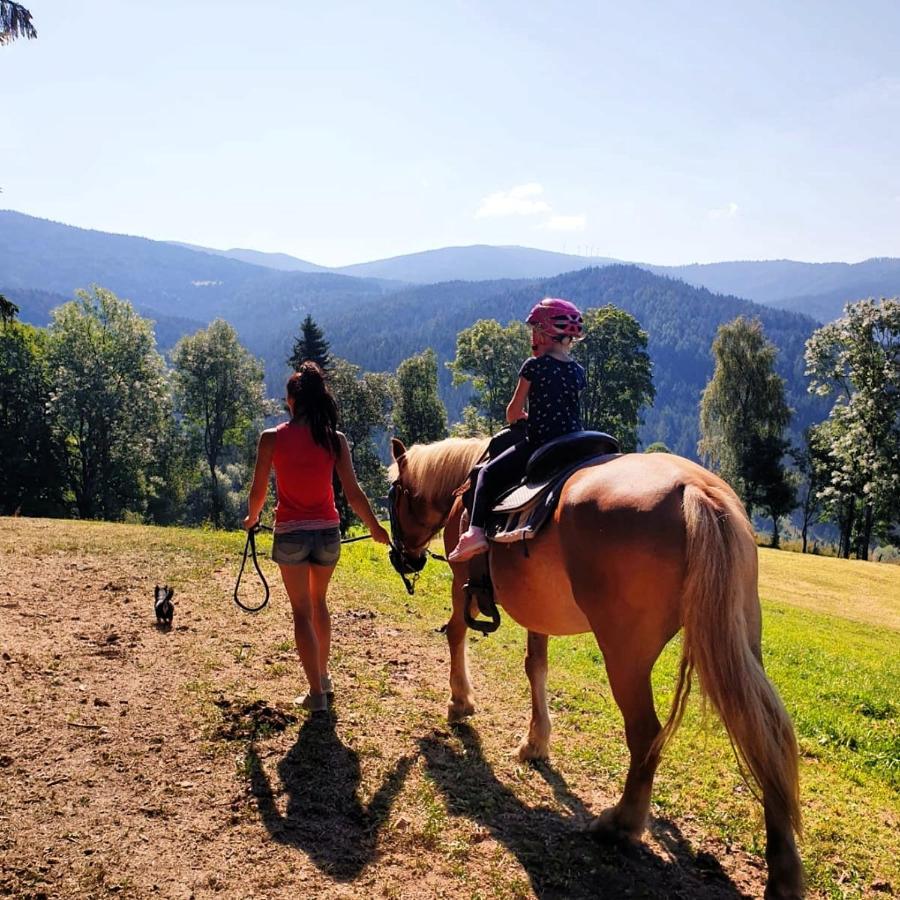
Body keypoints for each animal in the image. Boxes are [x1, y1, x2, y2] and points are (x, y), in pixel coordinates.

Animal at [386, 436, 800, 900]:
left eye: (396, 493)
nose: (404, 558)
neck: (468, 483)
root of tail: (695, 490)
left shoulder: (463, 584)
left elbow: (456, 633)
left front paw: (460, 702)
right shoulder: (538, 611)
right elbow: (536, 666)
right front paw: (535, 742)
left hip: (626, 654)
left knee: (646, 733)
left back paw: (620, 823)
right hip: (740, 636)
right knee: (766, 734)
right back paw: (783, 871)